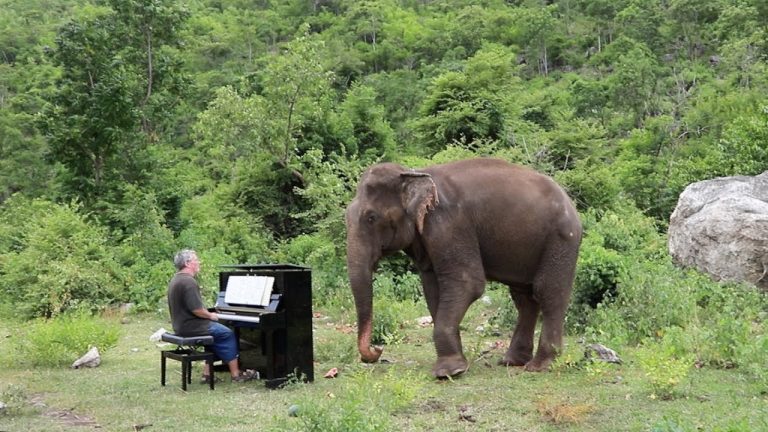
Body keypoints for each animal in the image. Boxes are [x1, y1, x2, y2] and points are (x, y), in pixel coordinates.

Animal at [345, 158, 582, 378]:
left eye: (371, 217)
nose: (378, 349)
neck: (415, 173)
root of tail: (571, 204)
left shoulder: (450, 224)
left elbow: (468, 283)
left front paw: (448, 373)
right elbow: (432, 288)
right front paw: (455, 366)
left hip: (561, 239)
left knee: (548, 292)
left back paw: (540, 366)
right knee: (523, 297)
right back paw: (512, 361)